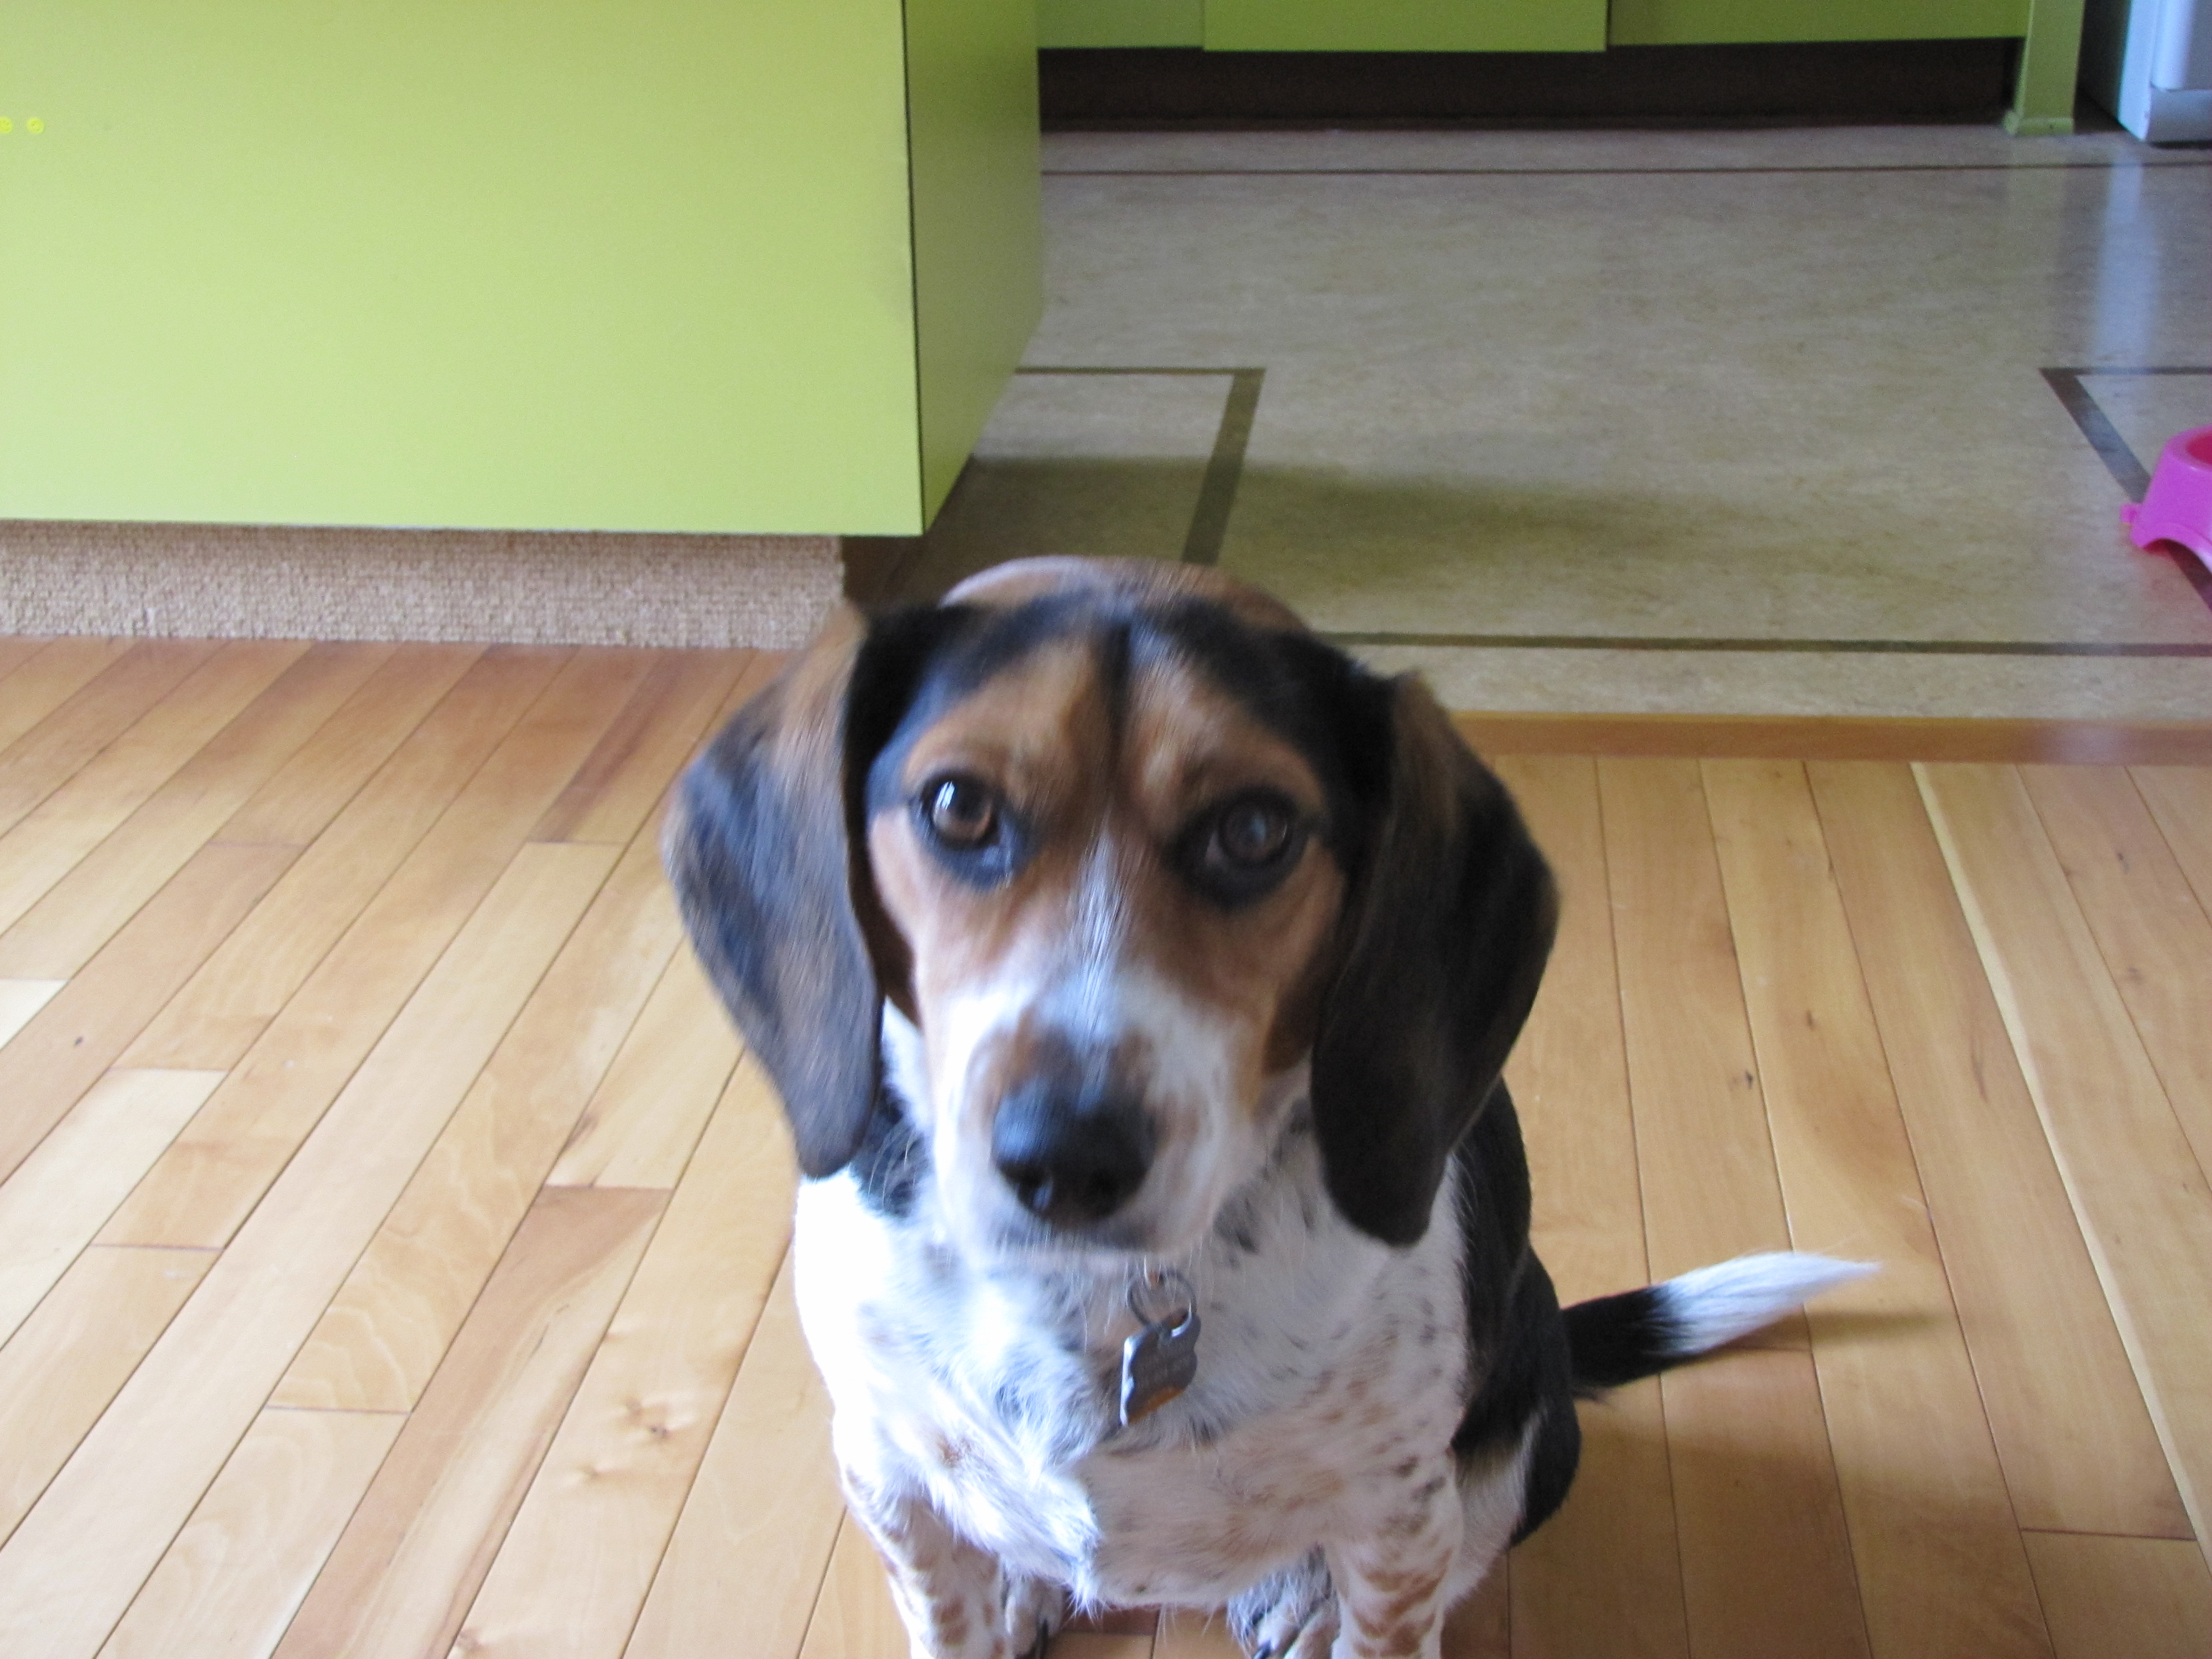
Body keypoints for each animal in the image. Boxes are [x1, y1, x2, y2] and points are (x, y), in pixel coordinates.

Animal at [665, 557, 1869, 1659]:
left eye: (1253, 830)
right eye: (959, 808)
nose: (1066, 1158)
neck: (1093, 1298)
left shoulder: (1401, 1519)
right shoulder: (887, 1478)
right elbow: (945, 1606)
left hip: (1519, 1442)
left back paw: (1295, 1594)